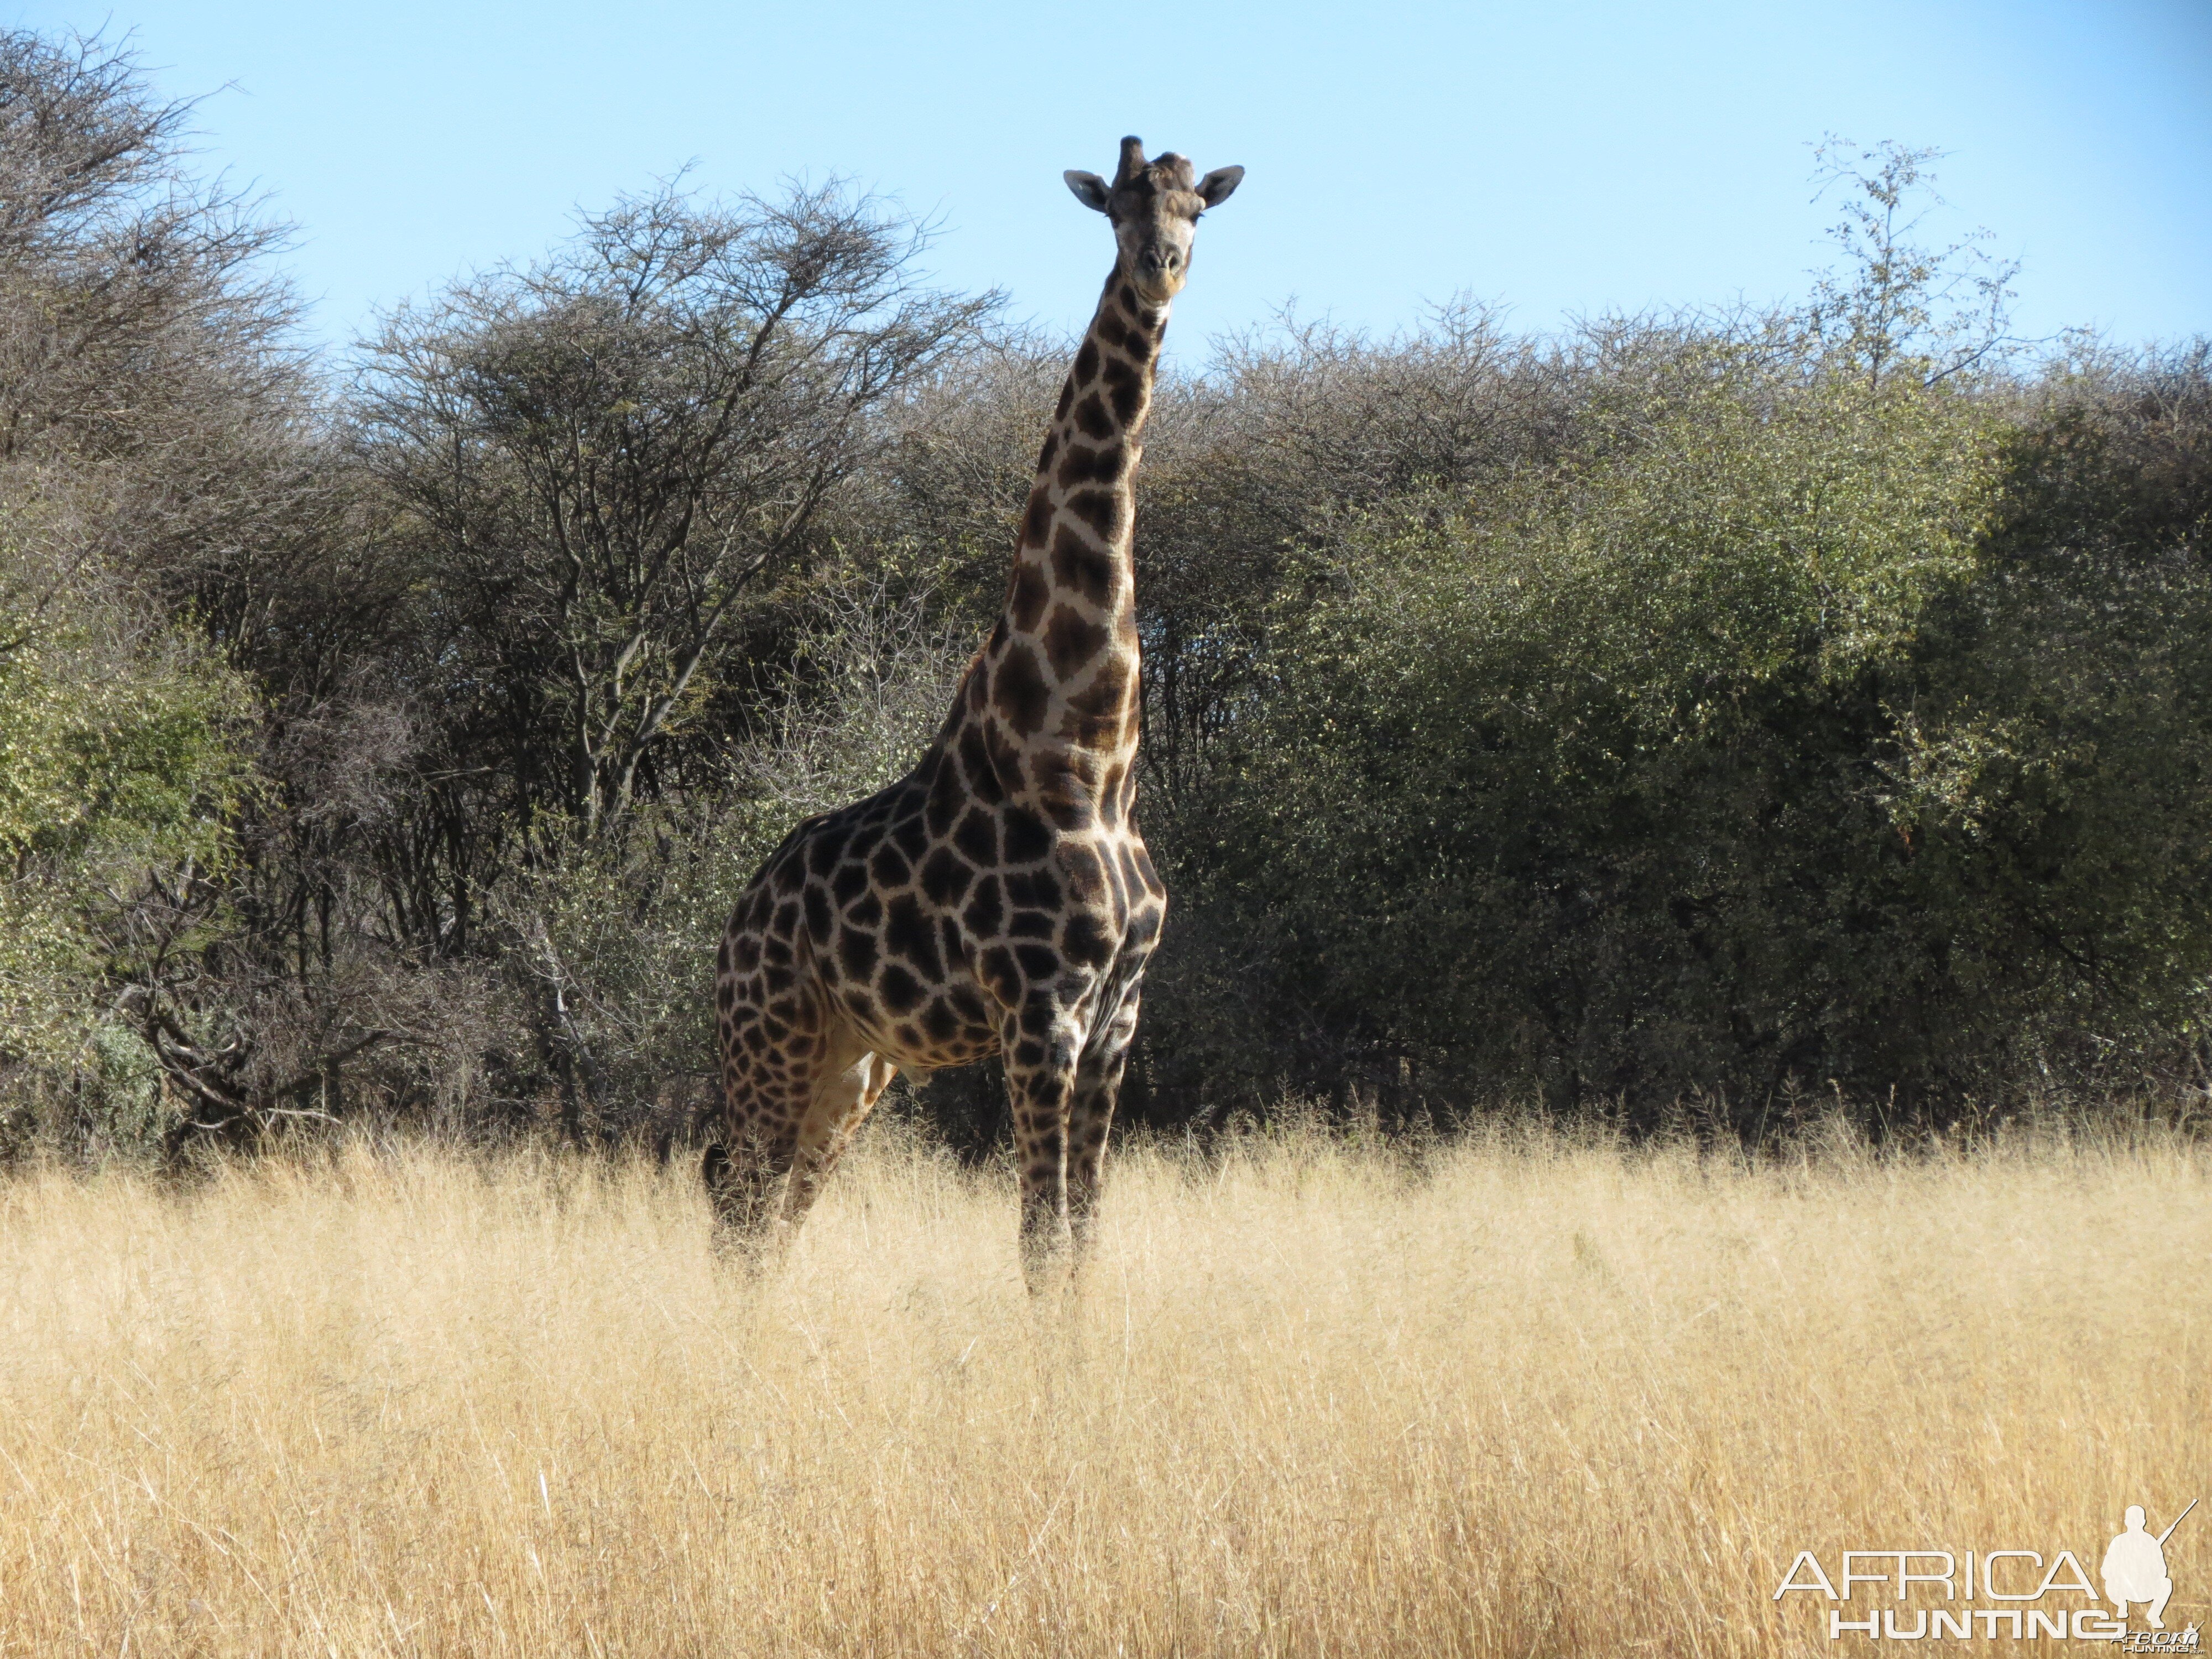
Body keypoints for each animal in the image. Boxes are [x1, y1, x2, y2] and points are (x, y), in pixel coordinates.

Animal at [699, 137, 1239, 1292]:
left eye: (1197, 210)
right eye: (1118, 209)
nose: (1163, 266)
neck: (1090, 754)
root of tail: (739, 915)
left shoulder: (1118, 1014)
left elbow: (1085, 1234)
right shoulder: (1038, 1012)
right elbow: (1038, 1238)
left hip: (855, 1066)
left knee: (776, 1213)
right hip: (771, 1036)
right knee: (738, 1205)